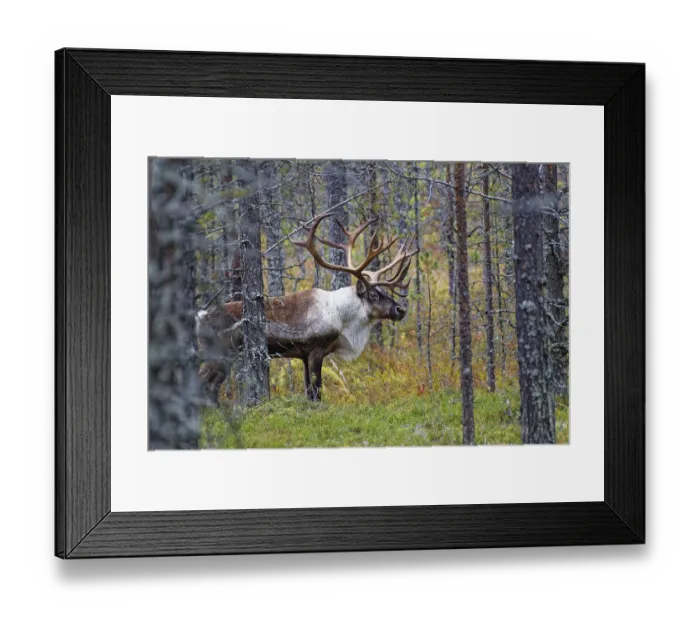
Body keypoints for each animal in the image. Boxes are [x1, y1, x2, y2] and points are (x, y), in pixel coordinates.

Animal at [196, 211, 418, 404]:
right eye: (373, 294)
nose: (400, 310)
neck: (342, 318)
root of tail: (201, 316)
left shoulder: (303, 355)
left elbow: (308, 392)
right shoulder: (315, 351)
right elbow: (317, 391)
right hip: (220, 354)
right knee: (204, 384)